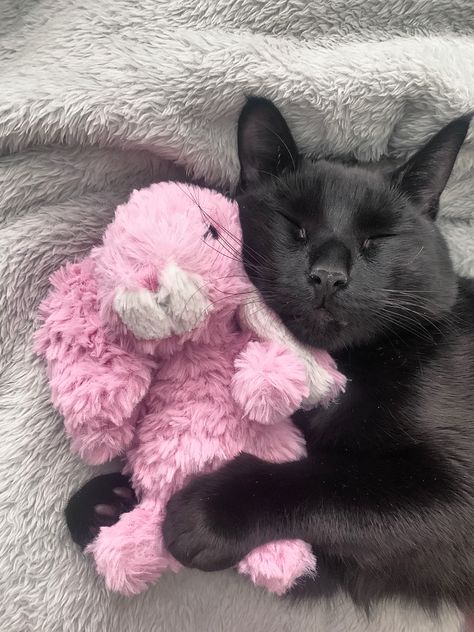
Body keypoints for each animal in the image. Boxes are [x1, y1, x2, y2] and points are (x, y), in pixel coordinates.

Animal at [65, 99, 472, 612]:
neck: (347, 368)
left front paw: (203, 513)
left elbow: (334, 485)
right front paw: (105, 503)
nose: (328, 275)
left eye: (376, 239)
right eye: (294, 225)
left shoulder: (449, 506)